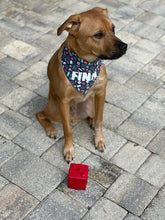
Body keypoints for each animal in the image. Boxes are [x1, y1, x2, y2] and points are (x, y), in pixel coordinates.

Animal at [36, 6, 127, 162]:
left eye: (113, 29)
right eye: (98, 35)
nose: (125, 46)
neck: (85, 64)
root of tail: (76, 116)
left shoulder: (101, 93)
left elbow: (100, 120)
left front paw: (99, 139)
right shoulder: (63, 101)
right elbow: (67, 130)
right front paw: (68, 149)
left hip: (90, 103)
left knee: (94, 114)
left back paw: (91, 120)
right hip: (55, 111)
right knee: (40, 114)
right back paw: (51, 129)